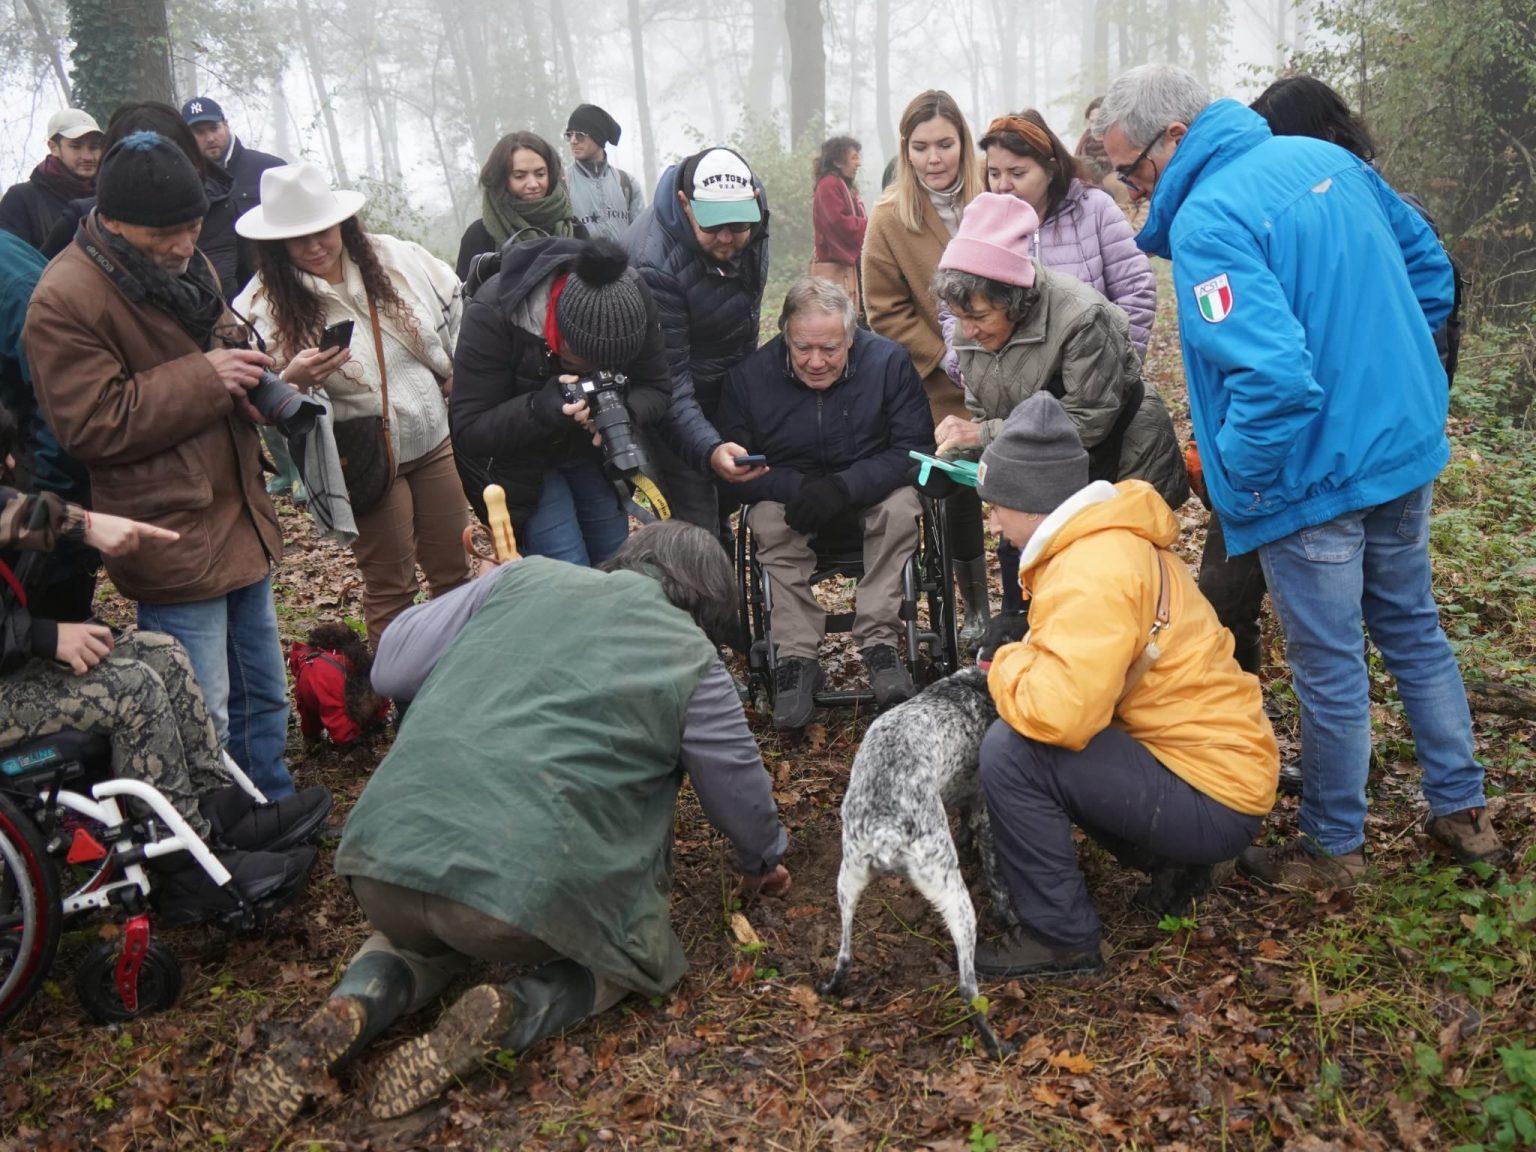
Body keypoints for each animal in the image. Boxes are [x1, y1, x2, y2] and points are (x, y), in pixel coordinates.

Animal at [823, 614, 1026, 1062]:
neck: (978, 679)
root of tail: (885, 832)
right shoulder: (983, 812)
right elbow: (998, 883)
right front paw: (1009, 917)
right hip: (954, 898)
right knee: (968, 990)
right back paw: (998, 1044)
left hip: (847, 881)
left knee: (844, 956)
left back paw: (831, 986)